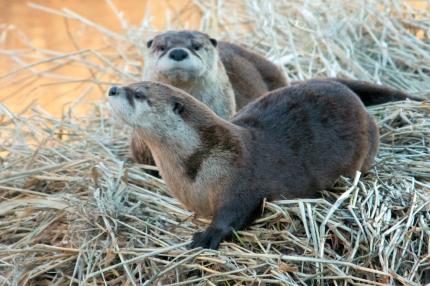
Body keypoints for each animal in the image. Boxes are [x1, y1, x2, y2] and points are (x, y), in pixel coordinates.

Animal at [107, 79, 380, 249]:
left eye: (138, 94)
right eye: (130, 84)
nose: (112, 89)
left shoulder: (242, 178)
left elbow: (236, 211)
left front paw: (209, 236)